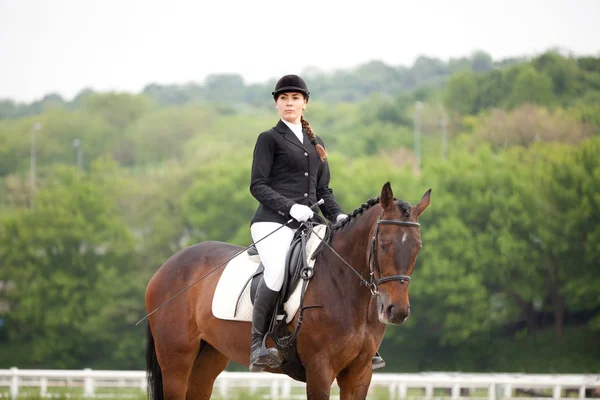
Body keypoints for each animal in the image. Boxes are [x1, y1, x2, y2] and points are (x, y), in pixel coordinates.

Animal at [144, 182, 432, 400]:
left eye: (417, 247)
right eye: (383, 244)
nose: (396, 311)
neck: (345, 287)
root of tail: (166, 266)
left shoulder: (360, 373)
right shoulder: (319, 370)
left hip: (209, 358)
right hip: (176, 361)